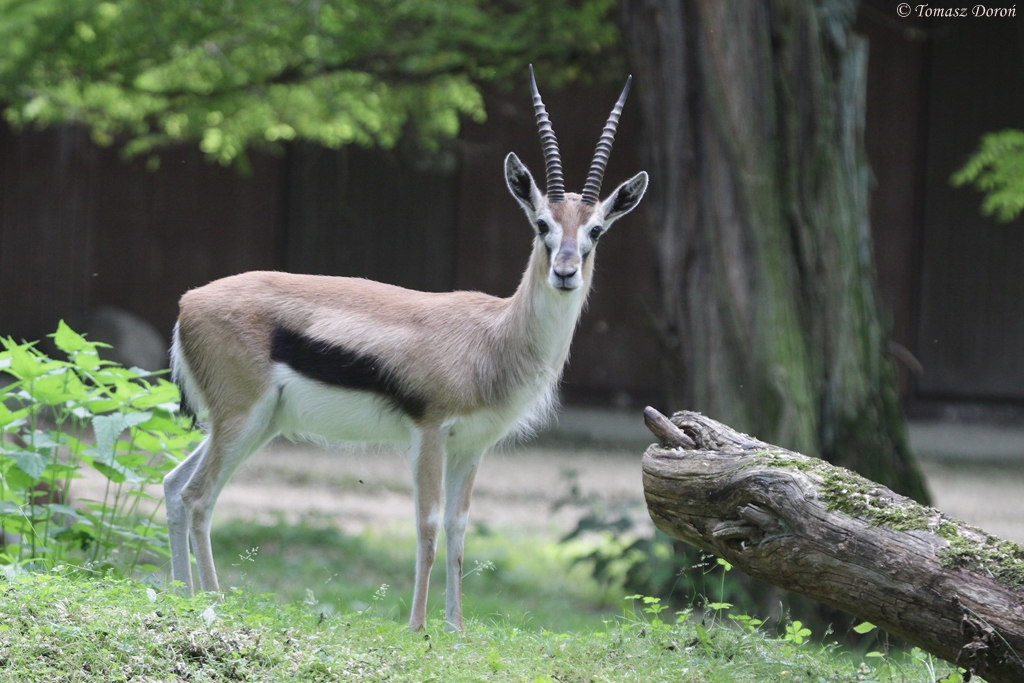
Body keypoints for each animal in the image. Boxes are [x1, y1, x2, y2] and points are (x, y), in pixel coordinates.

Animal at [163, 66, 648, 631]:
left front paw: (455, 627)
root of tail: (188, 302)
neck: (493, 337)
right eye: (542, 224)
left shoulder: (472, 446)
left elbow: (460, 526)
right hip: (242, 420)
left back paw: (181, 595)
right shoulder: (430, 433)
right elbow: (428, 523)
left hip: (256, 425)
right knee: (198, 497)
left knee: (174, 485)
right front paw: (417, 627)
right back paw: (212, 602)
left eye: (596, 229)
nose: (566, 272)